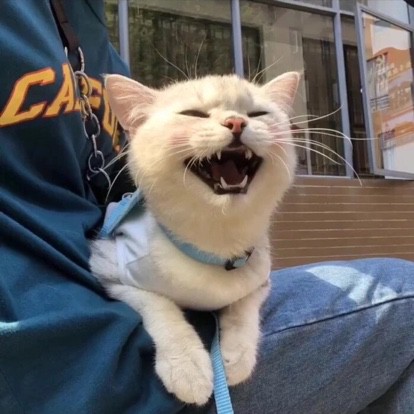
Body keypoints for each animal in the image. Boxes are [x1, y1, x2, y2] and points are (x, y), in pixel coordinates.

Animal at [89, 71, 299, 405]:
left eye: (257, 114)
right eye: (193, 114)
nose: (236, 122)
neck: (217, 241)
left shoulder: (260, 278)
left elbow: (244, 308)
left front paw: (236, 355)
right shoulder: (109, 269)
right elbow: (159, 305)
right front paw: (187, 366)